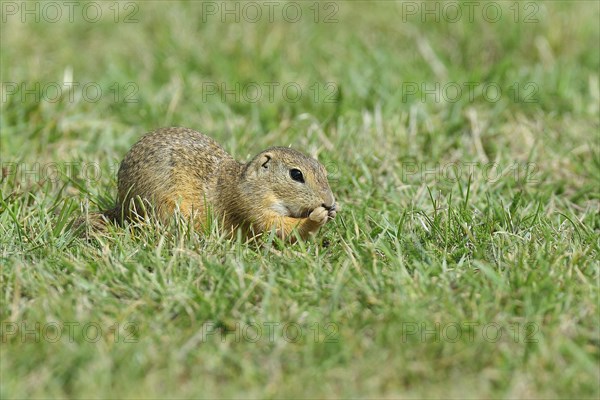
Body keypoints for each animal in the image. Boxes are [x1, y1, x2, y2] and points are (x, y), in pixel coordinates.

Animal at [95, 127, 338, 241]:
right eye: (296, 174)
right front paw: (316, 217)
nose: (328, 202)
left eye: (323, 169)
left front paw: (334, 210)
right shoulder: (250, 206)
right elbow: (277, 227)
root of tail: (122, 207)